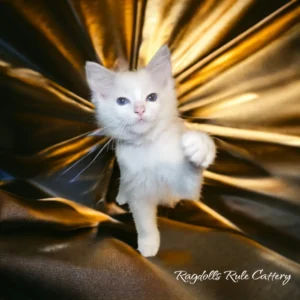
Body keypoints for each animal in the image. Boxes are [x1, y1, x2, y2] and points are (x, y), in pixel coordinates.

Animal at [85, 45, 216, 256]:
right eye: (122, 101)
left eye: (152, 97)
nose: (140, 109)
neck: (148, 146)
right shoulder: (138, 188)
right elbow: (144, 221)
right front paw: (148, 244)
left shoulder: (185, 187)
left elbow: (190, 178)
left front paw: (199, 146)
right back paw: (123, 195)